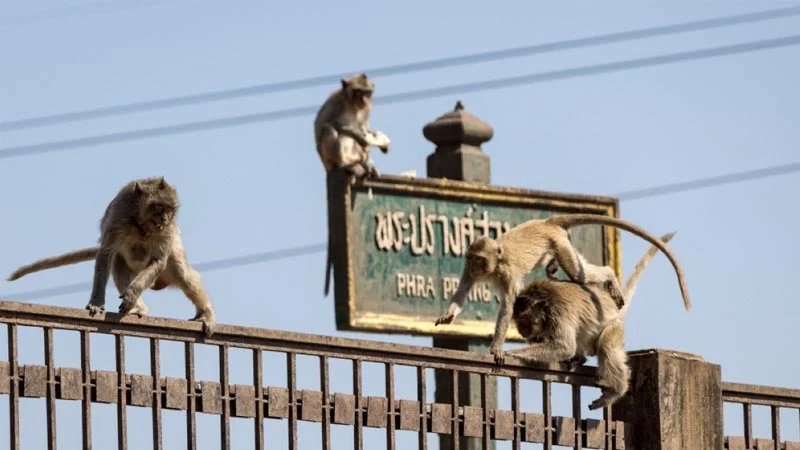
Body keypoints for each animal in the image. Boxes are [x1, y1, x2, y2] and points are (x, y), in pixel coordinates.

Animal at [7, 176, 219, 338]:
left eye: (170, 209)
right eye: (158, 207)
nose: (165, 219)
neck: (141, 225)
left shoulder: (167, 232)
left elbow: (159, 260)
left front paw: (132, 293)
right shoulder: (119, 216)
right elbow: (105, 254)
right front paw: (96, 303)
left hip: (173, 252)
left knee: (182, 272)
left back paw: (205, 314)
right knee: (118, 266)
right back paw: (139, 309)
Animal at [316, 73, 394, 298]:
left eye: (367, 92)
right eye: (357, 92)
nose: (363, 100)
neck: (353, 106)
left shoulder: (367, 110)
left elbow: (365, 130)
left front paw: (377, 143)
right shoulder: (337, 104)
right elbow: (332, 124)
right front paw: (363, 137)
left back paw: (364, 164)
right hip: (329, 157)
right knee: (332, 131)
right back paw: (348, 164)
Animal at [434, 213, 692, 364]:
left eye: (479, 260)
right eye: (471, 259)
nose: (473, 266)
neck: (494, 266)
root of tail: (546, 222)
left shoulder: (507, 275)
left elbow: (507, 307)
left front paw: (496, 348)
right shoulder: (469, 273)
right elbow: (463, 289)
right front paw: (449, 314)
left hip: (560, 244)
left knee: (578, 273)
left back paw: (608, 275)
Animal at [506, 230, 676, 410]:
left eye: (522, 319)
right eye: (517, 321)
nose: (521, 331)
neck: (546, 305)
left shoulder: (559, 313)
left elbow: (565, 346)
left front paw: (514, 353)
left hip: (615, 327)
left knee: (606, 346)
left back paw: (616, 391)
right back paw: (579, 359)